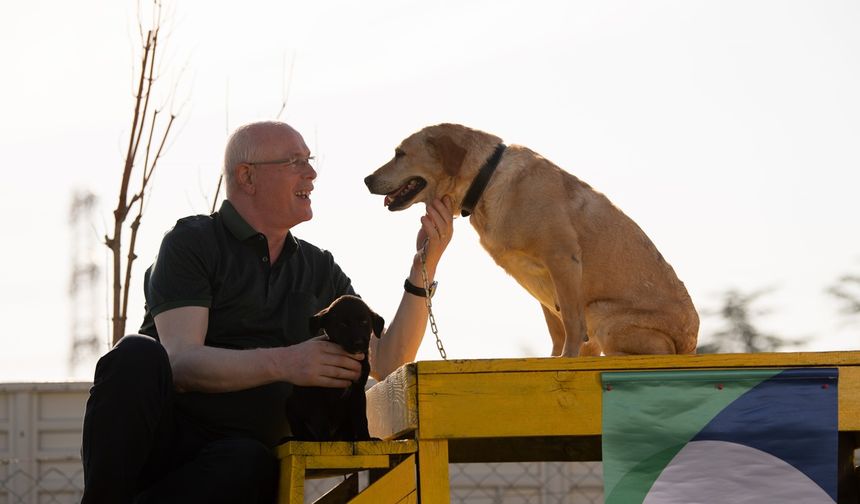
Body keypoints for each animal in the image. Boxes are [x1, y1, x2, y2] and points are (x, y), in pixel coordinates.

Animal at [286, 296, 382, 440]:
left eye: (364, 322)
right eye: (342, 324)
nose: (359, 343)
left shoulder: (358, 391)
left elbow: (361, 418)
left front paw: (365, 439)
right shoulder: (316, 392)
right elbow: (320, 419)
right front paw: (325, 441)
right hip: (291, 405)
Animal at [362, 123, 700, 356]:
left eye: (400, 154)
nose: (366, 179)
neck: (486, 181)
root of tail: (691, 344)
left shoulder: (562, 260)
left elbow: (571, 327)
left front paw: (565, 362)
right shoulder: (541, 282)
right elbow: (558, 332)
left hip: (602, 314)